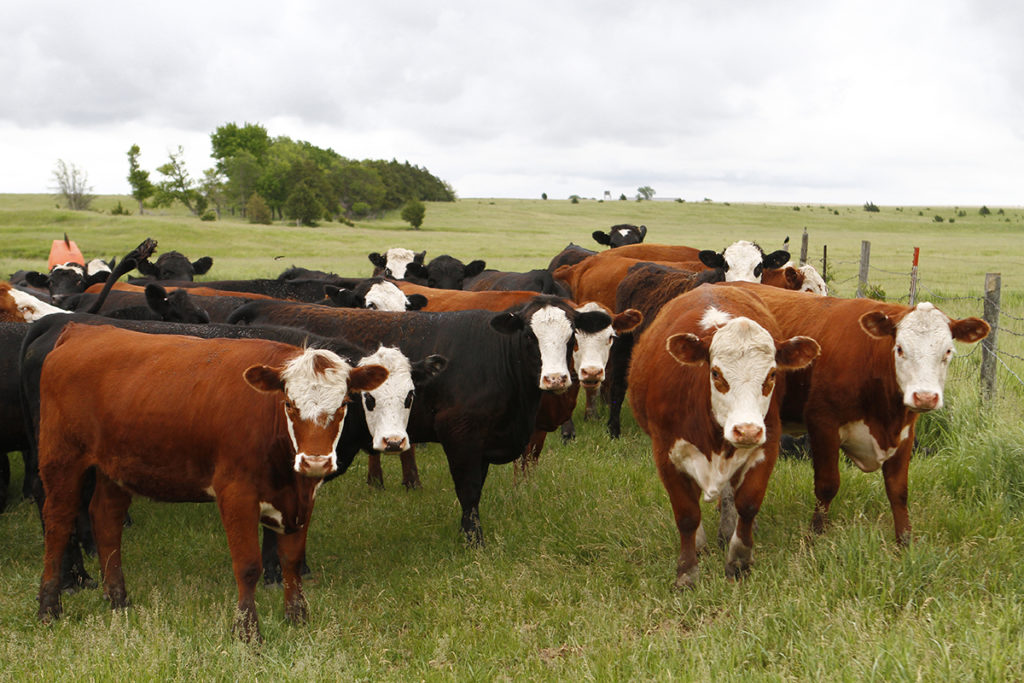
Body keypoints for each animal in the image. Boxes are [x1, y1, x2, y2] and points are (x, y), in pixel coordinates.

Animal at [35, 323, 387, 643]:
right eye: (289, 404)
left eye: (344, 404)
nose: (315, 461)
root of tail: (82, 329)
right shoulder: (236, 492)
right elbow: (248, 565)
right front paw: (247, 632)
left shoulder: (302, 497)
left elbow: (292, 559)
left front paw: (297, 618)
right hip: (61, 458)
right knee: (58, 523)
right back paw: (49, 608)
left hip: (116, 466)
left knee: (106, 518)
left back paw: (118, 601)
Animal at [626, 282, 819, 589]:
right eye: (716, 373)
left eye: (772, 375)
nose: (747, 429)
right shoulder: (666, 454)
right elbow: (687, 515)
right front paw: (687, 572)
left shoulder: (767, 444)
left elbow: (748, 503)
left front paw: (739, 561)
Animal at [720, 280, 991, 540]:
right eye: (900, 348)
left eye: (948, 351)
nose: (925, 397)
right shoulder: (822, 422)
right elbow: (827, 485)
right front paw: (814, 536)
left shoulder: (905, 433)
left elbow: (899, 490)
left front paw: (904, 542)